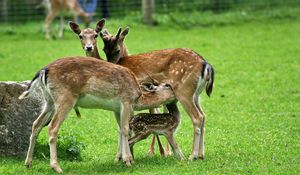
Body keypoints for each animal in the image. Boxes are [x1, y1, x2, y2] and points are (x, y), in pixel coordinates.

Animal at [18, 56, 176, 173]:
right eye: (168, 85)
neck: (138, 97)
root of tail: (44, 71)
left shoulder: (117, 109)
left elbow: (120, 130)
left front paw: (121, 159)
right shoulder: (125, 101)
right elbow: (125, 130)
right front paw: (128, 161)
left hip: (49, 101)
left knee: (36, 124)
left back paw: (28, 163)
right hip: (65, 98)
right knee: (52, 127)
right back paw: (56, 167)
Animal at [68, 20, 171, 157]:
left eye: (95, 35)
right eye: (80, 36)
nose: (88, 47)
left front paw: (129, 154)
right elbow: (120, 127)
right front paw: (120, 155)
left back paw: (164, 151)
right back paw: (156, 150)